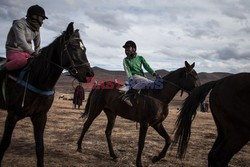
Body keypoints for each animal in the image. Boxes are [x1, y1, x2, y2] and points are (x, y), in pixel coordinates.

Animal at [0, 22, 94, 167]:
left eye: (84, 49)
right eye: (73, 46)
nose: (90, 74)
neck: (37, 79)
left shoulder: (40, 116)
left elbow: (40, 147)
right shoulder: (12, 115)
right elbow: (4, 144)